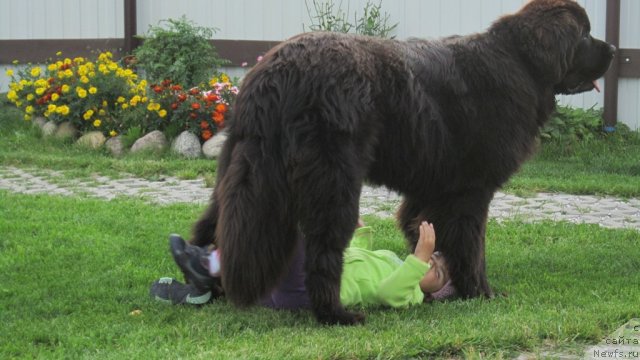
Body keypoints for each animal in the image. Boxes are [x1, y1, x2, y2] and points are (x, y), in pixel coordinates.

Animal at [189, 0, 616, 324]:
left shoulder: (432, 187)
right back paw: (335, 314)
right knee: (323, 249)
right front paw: (480, 292)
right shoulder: (471, 191)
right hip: (333, 181)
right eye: (584, 35)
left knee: (212, 224)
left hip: (238, 166)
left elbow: (422, 228)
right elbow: (471, 246)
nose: (614, 51)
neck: (522, 65)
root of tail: (275, 70)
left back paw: (202, 284)